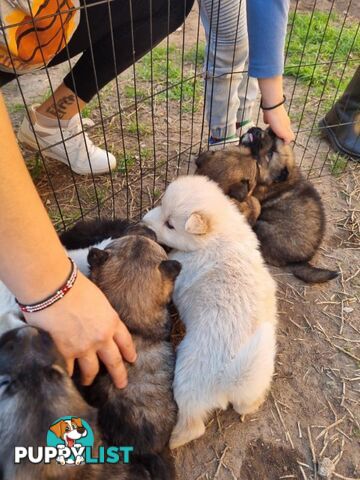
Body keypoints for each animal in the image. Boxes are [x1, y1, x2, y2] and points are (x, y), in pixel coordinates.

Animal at [142, 176, 278, 450]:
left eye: (170, 224)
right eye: (161, 206)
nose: (144, 221)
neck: (219, 235)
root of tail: (231, 378)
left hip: (187, 377)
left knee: (193, 425)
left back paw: (173, 441)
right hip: (255, 378)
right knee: (245, 404)